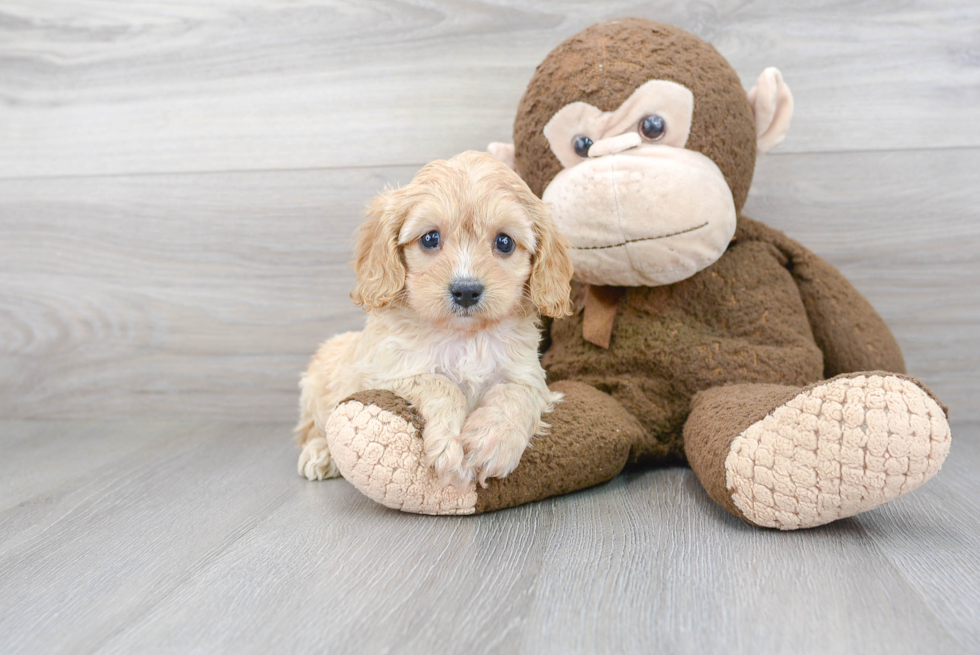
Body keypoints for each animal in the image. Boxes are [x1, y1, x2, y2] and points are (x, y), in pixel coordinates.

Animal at [298, 150, 576, 486]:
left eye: (505, 242)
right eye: (430, 238)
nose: (466, 290)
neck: (464, 336)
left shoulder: (528, 376)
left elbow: (514, 394)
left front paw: (492, 442)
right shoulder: (391, 372)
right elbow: (442, 385)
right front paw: (448, 446)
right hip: (318, 382)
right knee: (313, 428)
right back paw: (320, 453)